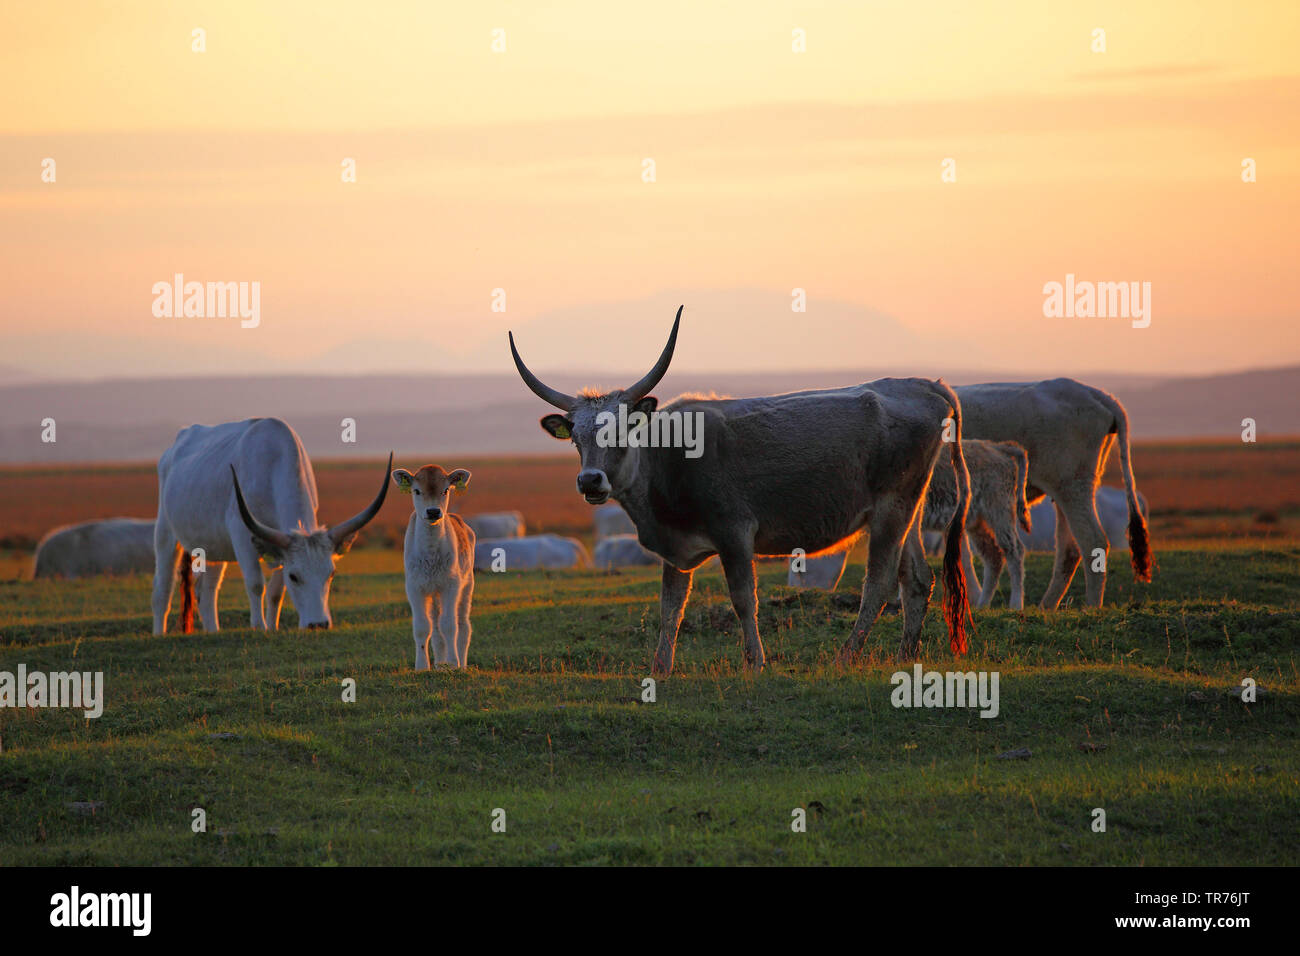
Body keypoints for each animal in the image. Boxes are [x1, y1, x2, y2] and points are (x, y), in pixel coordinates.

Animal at [151, 418, 391, 634]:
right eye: (294, 576)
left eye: (331, 574)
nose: (318, 624)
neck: (274, 463)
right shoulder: (241, 534)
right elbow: (256, 583)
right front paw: (259, 626)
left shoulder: (281, 546)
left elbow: (276, 591)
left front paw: (273, 627)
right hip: (165, 533)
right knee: (163, 588)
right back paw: (159, 633)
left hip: (213, 544)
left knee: (207, 591)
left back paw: (213, 631)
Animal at [392, 464, 476, 670]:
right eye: (416, 490)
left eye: (445, 490)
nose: (432, 511)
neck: (430, 554)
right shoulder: (414, 586)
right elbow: (422, 627)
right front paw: (422, 666)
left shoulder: (451, 585)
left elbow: (450, 625)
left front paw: (453, 663)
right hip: (434, 593)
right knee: (436, 628)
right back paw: (439, 663)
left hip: (467, 584)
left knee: (463, 625)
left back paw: (461, 664)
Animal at [509, 305, 972, 675]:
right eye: (575, 437)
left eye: (622, 430)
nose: (590, 481)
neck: (667, 457)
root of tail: (926, 385)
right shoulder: (676, 549)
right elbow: (670, 607)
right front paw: (661, 668)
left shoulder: (734, 535)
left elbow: (742, 599)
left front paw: (755, 661)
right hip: (905, 509)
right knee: (917, 579)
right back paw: (905, 655)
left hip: (892, 510)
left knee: (878, 583)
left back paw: (847, 655)